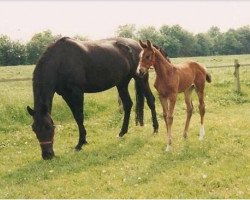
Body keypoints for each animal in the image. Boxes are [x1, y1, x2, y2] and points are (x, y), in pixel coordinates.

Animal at [25, 37, 158, 159]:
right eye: (34, 128)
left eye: (49, 127)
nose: (47, 155)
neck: (60, 61)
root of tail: (138, 45)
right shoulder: (66, 94)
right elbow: (76, 116)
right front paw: (82, 141)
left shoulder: (77, 92)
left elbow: (79, 116)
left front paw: (80, 143)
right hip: (122, 83)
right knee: (128, 104)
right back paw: (122, 132)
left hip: (141, 78)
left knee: (151, 100)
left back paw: (155, 129)